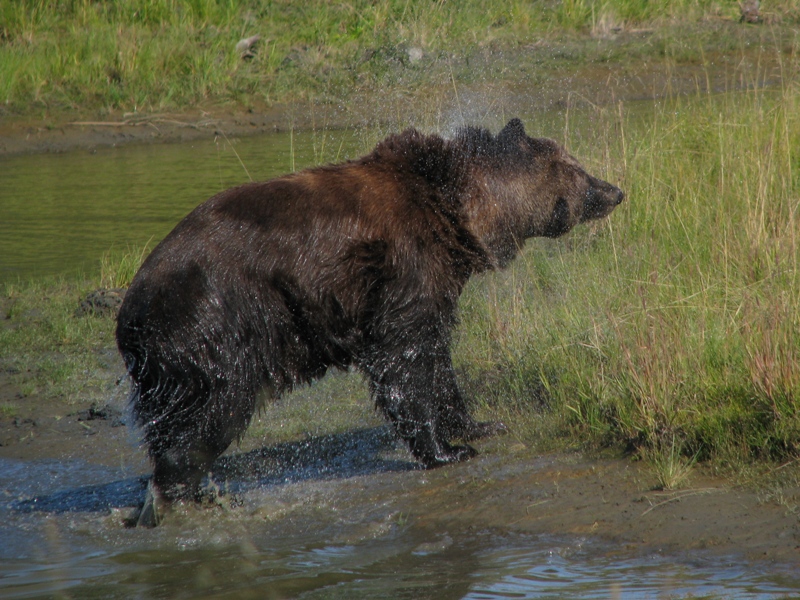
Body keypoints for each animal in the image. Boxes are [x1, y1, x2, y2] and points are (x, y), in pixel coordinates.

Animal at [115, 118, 624, 524]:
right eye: (579, 169)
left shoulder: (435, 283)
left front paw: (477, 425)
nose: (616, 190)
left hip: (167, 365)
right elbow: (402, 358)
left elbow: (437, 357)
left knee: (172, 424)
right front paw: (447, 450)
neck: (456, 210)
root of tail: (129, 316)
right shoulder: (401, 268)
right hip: (211, 323)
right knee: (213, 411)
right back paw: (186, 493)